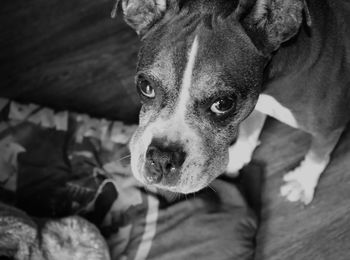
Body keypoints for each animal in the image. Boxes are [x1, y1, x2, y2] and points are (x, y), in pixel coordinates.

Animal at [117, 0, 350, 205]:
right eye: (145, 86)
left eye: (222, 104)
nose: (161, 158)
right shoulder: (254, 102)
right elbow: (250, 129)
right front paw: (239, 156)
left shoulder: (328, 130)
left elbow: (318, 155)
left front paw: (302, 182)